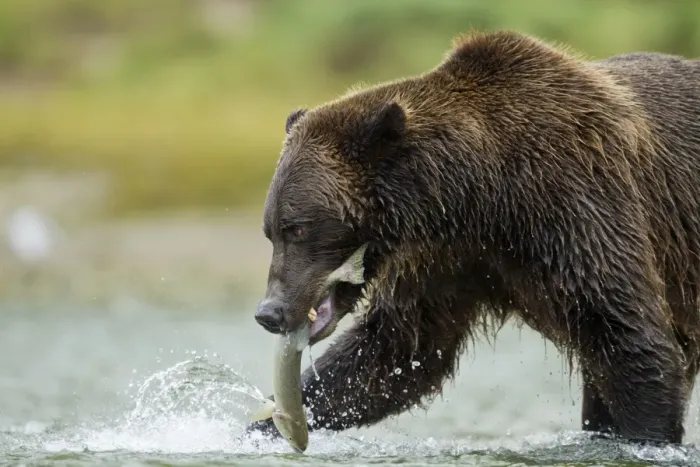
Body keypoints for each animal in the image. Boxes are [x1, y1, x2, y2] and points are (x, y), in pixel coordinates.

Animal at [249, 30, 700, 445]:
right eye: (270, 231)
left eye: (298, 228)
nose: (269, 312)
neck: (481, 195)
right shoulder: (448, 259)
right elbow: (396, 353)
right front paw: (263, 425)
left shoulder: (578, 203)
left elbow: (631, 339)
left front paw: (644, 435)